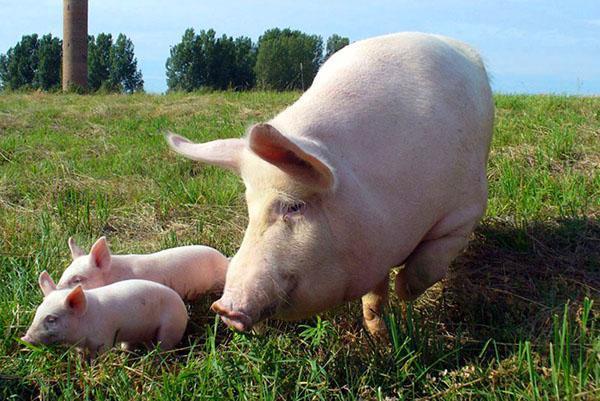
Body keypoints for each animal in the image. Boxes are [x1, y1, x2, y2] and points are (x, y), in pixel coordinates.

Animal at [165, 32, 492, 334]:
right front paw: (379, 332)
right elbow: (374, 294)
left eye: (294, 206)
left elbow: (426, 266)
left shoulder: (465, 210)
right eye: (249, 210)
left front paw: (403, 293)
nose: (224, 308)